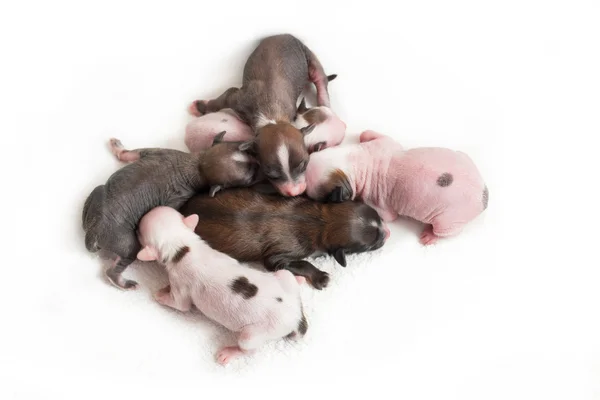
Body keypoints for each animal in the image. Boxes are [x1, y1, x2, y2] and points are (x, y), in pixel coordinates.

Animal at [81, 133, 256, 290]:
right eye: (249, 180)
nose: (259, 167)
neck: (198, 165)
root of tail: (93, 234)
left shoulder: (158, 152)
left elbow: (130, 153)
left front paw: (117, 146)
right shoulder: (178, 198)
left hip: (97, 197)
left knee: (97, 194)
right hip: (123, 242)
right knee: (119, 263)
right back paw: (122, 282)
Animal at [138, 206, 308, 366]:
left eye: (139, 233)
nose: (136, 229)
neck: (182, 245)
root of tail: (296, 317)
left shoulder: (179, 281)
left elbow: (180, 305)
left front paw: (161, 295)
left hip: (258, 333)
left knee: (249, 347)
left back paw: (230, 352)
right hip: (285, 278)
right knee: (286, 275)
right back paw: (299, 279)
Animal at [175, 188, 390, 290]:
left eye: (377, 217)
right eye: (370, 245)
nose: (387, 233)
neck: (321, 221)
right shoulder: (280, 256)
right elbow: (299, 262)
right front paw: (321, 276)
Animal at [304, 130, 488, 245]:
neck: (358, 162)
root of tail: (484, 197)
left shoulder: (377, 199)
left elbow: (388, 216)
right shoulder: (384, 144)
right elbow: (377, 136)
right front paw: (362, 136)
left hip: (448, 220)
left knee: (447, 231)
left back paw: (430, 235)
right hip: (464, 158)